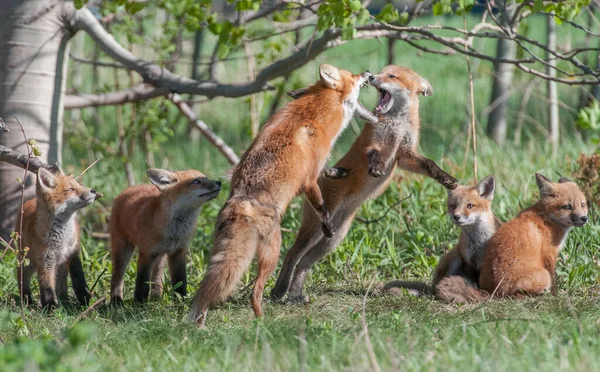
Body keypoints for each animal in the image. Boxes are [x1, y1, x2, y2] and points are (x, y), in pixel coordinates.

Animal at [16, 168, 99, 308]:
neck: (62, 239)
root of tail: (29, 201)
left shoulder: (73, 254)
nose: (93, 190)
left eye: (79, 185)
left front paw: (85, 301)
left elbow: (79, 280)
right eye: (71, 189)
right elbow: (47, 288)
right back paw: (28, 301)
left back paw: (65, 301)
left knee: (61, 285)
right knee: (22, 275)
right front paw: (50, 308)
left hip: (57, 263)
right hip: (30, 261)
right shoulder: (46, 261)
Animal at [109, 169, 220, 302]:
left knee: (157, 277)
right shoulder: (147, 253)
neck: (174, 230)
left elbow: (180, 280)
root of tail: (127, 190)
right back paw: (116, 300)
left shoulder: (178, 251)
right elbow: (142, 281)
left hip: (161, 256)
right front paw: (139, 302)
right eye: (196, 181)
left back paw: (156, 297)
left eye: (206, 178)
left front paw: (181, 300)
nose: (219, 182)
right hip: (123, 249)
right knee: (117, 277)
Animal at [189, 64, 376, 326]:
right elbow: (321, 205)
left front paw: (338, 172)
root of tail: (241, 203)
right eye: (354, 75)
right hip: (272, 254)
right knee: (255, 292)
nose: (369, 73)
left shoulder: (314, 172)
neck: (316, 115)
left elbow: (327, 172)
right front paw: (327, 225)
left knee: (212, 285)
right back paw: (262, 321)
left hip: (224, 254)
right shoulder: (309, 181)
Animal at [270, 65, 458, 302]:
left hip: (333, 238)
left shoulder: (405, 156)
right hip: (315, 230)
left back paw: (295, 295)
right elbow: (373, 153)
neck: (396, 124)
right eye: (383, 72)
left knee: (303, 263)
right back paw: (278, 292)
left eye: (391, 76)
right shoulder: (372, 142)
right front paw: (376, 166)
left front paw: (447, 180)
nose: (372, 77)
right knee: (292, 255)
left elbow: (430, 165)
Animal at [438, 174, 588, 302]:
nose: (584, 218)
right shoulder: (549, 253)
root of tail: (492, 293)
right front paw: (555, 295)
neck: (547, 218)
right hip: (543, 277)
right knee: (515, 295)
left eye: (582, 204)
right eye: (567, 207)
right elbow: (554, 278)